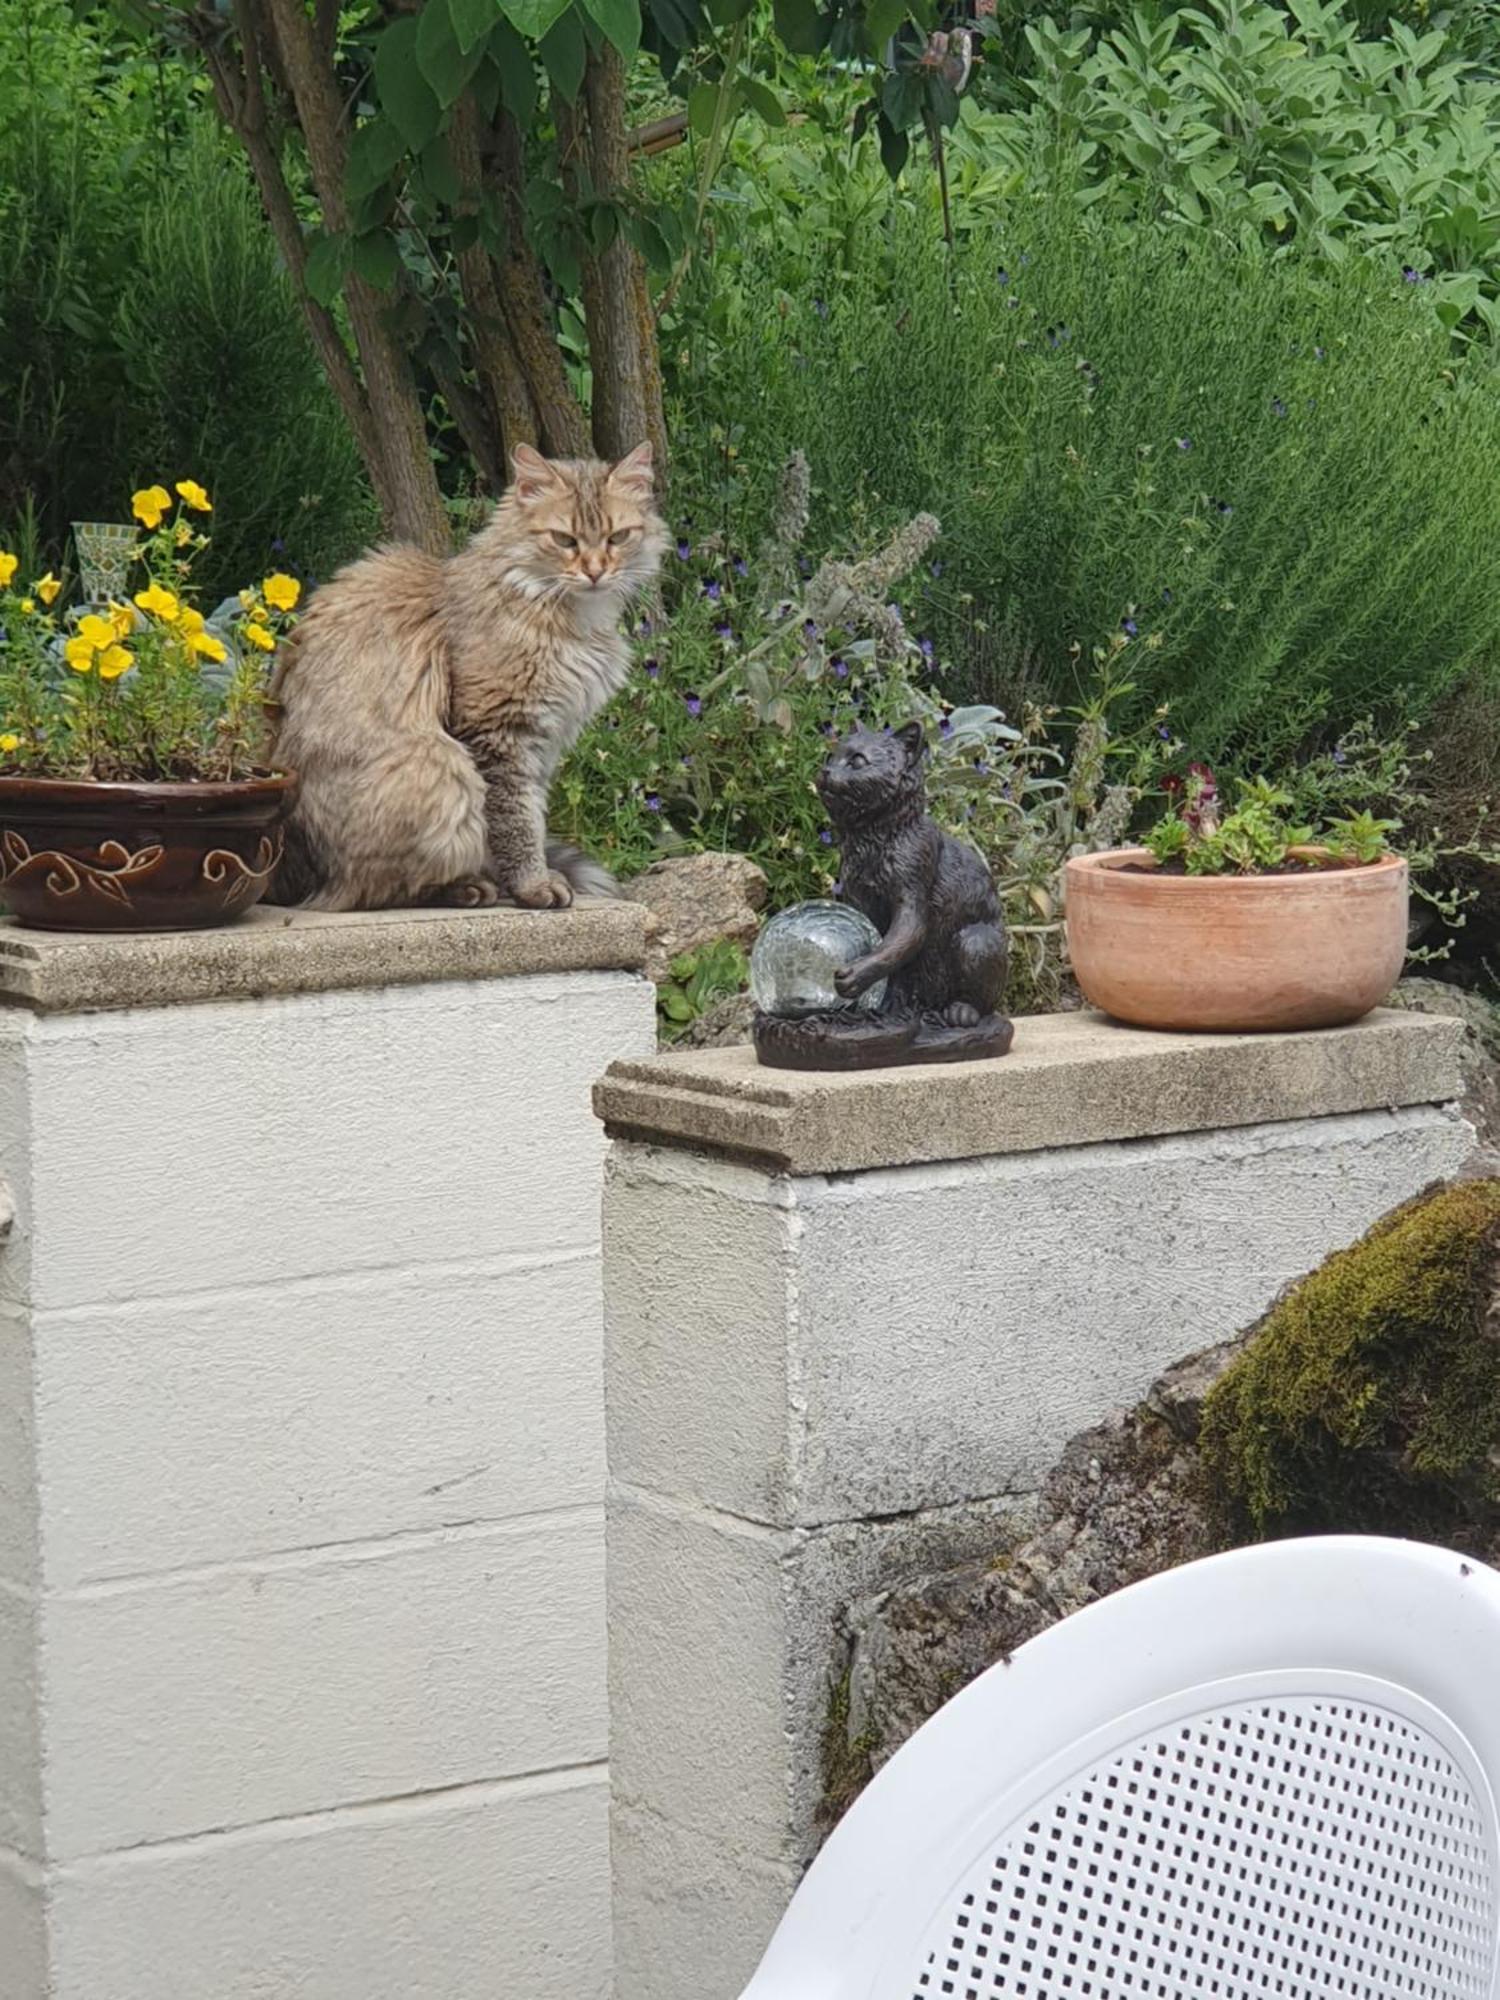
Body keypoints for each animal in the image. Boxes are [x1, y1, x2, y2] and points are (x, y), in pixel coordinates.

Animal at [268, 442, 664, 912]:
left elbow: (533, 815)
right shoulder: (497, 731)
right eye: (564, 540)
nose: (595, 571)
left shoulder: (543, 740)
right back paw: (468, 888)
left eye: (618, 537)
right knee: (372, 890)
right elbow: (515, 822)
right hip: (441, 768)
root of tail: (289, 875)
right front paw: (532, 887)